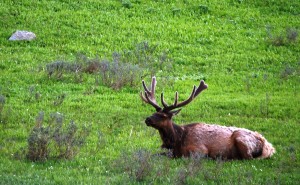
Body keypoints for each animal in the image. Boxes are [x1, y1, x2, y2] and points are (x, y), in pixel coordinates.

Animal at [141, 76, 274, 159]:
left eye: (163, 116)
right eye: (154, 112)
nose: (147, 119)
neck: (177, 140)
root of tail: (269, 146)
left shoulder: (200, 149)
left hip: (241, 138)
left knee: (248, 158)